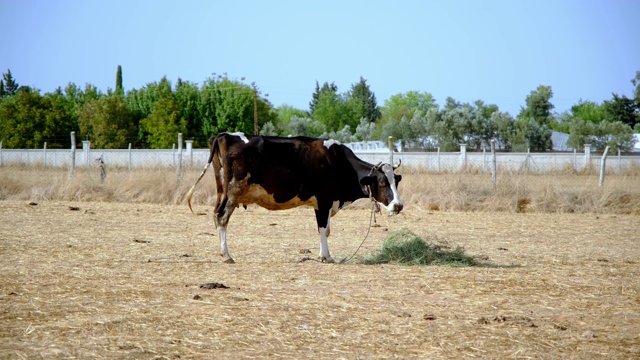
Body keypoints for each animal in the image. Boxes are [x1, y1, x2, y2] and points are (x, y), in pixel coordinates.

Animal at [186, 131, 404, 262]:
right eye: (383, 183)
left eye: (397, 182)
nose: (398, 205)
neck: (339, 162)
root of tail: (225, 135)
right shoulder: (324, 201)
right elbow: (323, 230)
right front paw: (326, 257)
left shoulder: (323, 204)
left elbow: (325, 230)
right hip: (233, 191)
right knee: (222, 217)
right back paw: (227, 255)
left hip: (221, 191)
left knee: (216, 215)